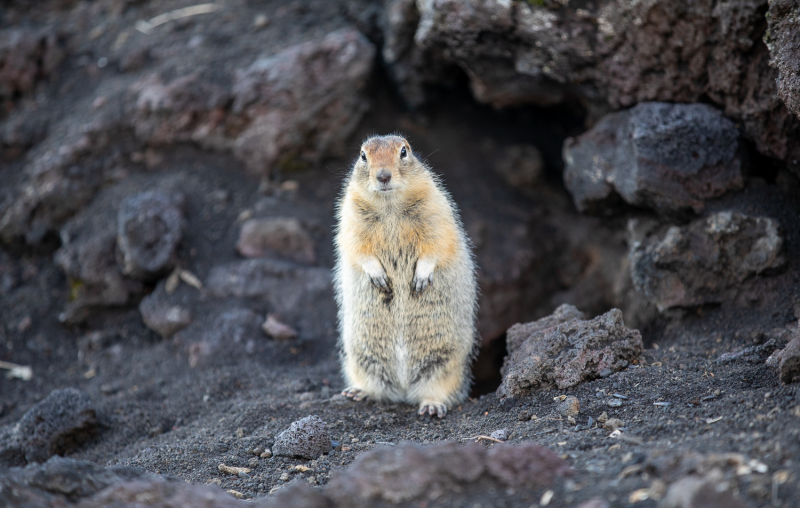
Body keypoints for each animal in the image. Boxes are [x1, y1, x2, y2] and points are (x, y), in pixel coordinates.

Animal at [332, 134, 476, 416]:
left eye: (404, 152)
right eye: (363, 155)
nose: (383, 176)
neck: (389, 206)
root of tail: (404, 391)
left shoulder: (435, 209)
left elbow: (437, 243)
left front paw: (420, 277)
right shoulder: (350, 215)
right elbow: (356, 247)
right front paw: (378, 276)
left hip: (445, 363)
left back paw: (432, 406)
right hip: (362, 357)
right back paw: (358, 392)